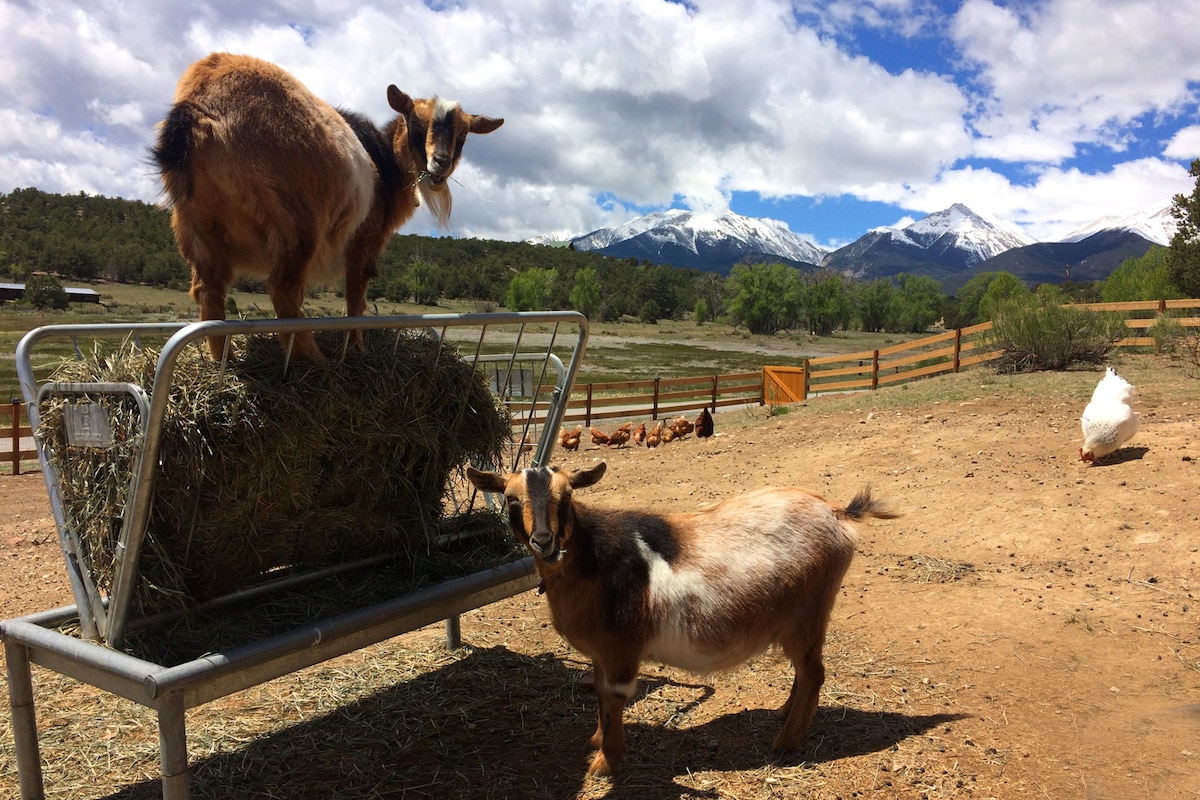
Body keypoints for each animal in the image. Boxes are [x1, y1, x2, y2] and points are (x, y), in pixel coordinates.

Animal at [152, 52, 503, 362]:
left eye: (463, 134)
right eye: (416, 122)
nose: (440, 163)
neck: (385, 161)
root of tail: (201, 104)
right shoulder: (365, 241)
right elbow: (356, 300)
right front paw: (357, 348)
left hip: (196, 222)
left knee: (209, 290)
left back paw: (221, 358)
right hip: (296, 222)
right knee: (283, 291)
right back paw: (313, 359)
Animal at [465, 462, 897, 776]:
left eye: (567, 495)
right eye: (510, 499)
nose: (545, 542)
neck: (594, 558)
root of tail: (838, 513)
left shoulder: (622, 648)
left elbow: (614, 698)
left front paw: (606, 763)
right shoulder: (601, 654)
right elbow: (600, 696)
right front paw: (597, 741)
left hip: (808, 614)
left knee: (814, 672)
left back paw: (785, 743)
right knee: (805, 671)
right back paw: (784, 714)